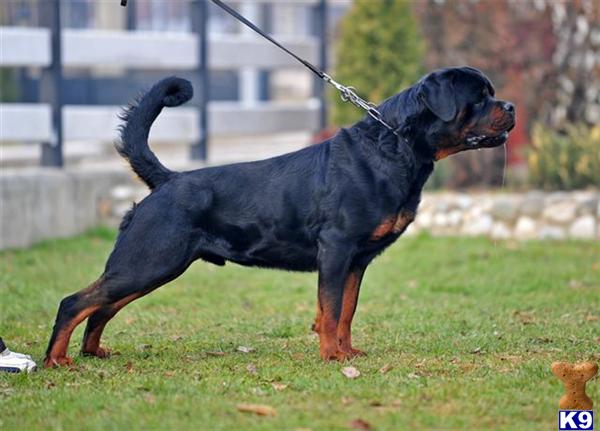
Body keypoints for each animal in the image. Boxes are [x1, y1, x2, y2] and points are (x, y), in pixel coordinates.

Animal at [45, 67, 516, 368]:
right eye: (479, 98)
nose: (510, 106)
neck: (394, 147)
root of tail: (168, 180)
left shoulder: (357, 260)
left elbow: (346, 311)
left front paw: (347, 352)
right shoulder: (336, 249)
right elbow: (330, 310)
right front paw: (331, 357)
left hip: (152, 267)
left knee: (102, 307)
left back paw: (92, 353)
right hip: (149, 260)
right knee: (76, 302)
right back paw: (56, 360)